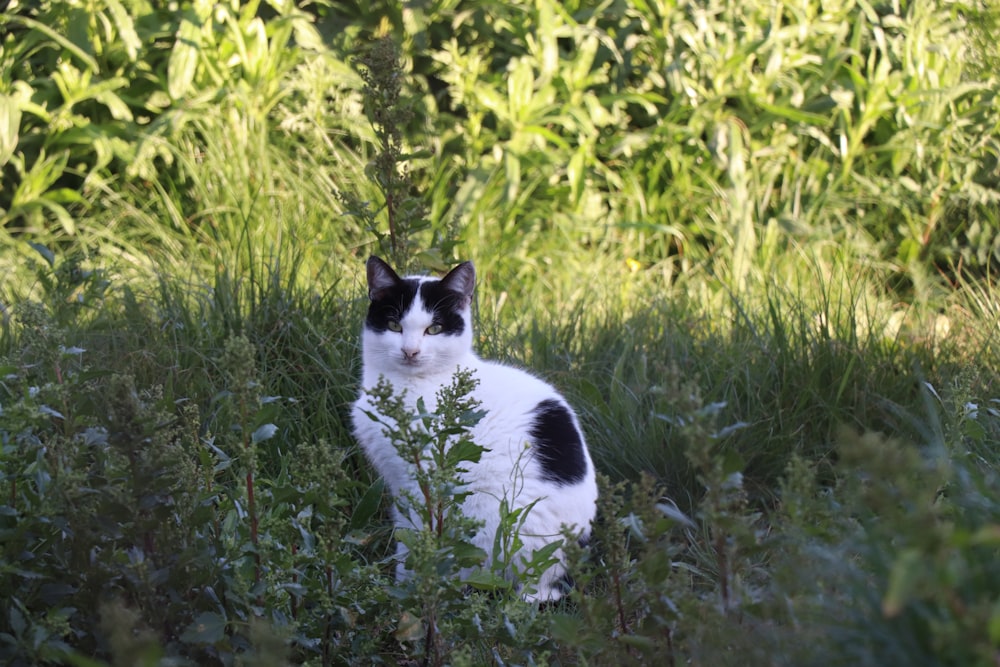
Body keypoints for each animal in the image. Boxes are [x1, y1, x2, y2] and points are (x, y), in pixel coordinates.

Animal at [352, 258, 592, 604]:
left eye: (434, 329)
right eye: (395, 325)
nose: (410, 352)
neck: (412, 385)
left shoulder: (423, 480)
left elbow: (418, 533)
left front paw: (410, 587)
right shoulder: (398, 482)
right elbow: (406, 530)